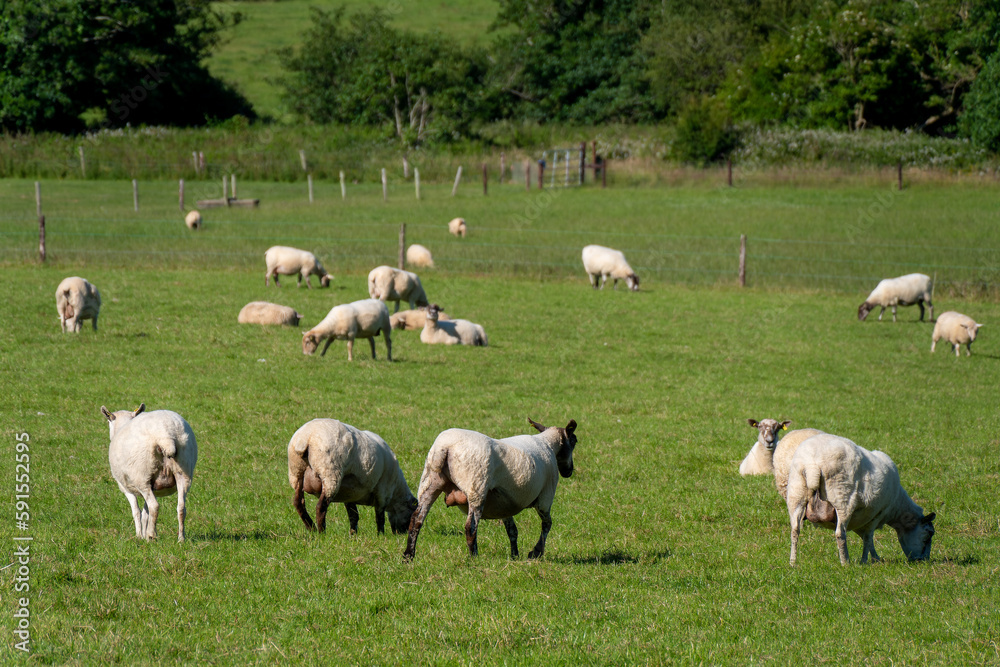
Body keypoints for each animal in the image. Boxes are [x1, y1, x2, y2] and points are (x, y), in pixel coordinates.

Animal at [99, 402, 197, 544]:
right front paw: (144, 533)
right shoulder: (153, 486)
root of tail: (165, 434)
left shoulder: (126, 488)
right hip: (184, 471)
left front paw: (140, 536)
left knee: (154, 506)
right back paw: (180, 539)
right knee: (181, 507)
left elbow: (136, 511)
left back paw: (151, 535)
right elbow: (145, 513)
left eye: (108, 421)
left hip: (141, 476)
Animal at [286, 420, 418, 536]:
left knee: (298, 503)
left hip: (296, 473)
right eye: (411, 516)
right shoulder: (382, 492)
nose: (402, 534)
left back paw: (311, 528)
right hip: (330, 474)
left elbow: (354, 515)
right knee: (320, 507)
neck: (396, 492)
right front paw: (381, 535)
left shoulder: (349, 494)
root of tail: (305, 438)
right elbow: (380, 517)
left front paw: (353, 534)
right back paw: (321, 533)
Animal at [400, 418, 580, 564]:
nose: (569, 472)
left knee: (416, 519)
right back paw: (474, 558)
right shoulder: (545, 497)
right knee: (471, 526)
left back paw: (408, 556)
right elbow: (547, 524)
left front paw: (515, 556)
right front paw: (536, 552)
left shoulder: (505, 503)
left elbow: (512, 530)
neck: (547, 443)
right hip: (476, 488)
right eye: (574, 441)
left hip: (429, 482)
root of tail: (445, 448)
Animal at [788, 434, 936, 568]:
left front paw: (874, 558)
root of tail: (813, 464)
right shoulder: (877, 515)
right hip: (843, 498)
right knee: (840, 533)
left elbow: (865, 538)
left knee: (795, 530)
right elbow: (868, 538)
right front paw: (866, 560)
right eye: (929, 534)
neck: (897, 508)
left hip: (796, 495)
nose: (923, 560)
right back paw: (845, 563)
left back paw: (793, 562)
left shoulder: (861, 520)